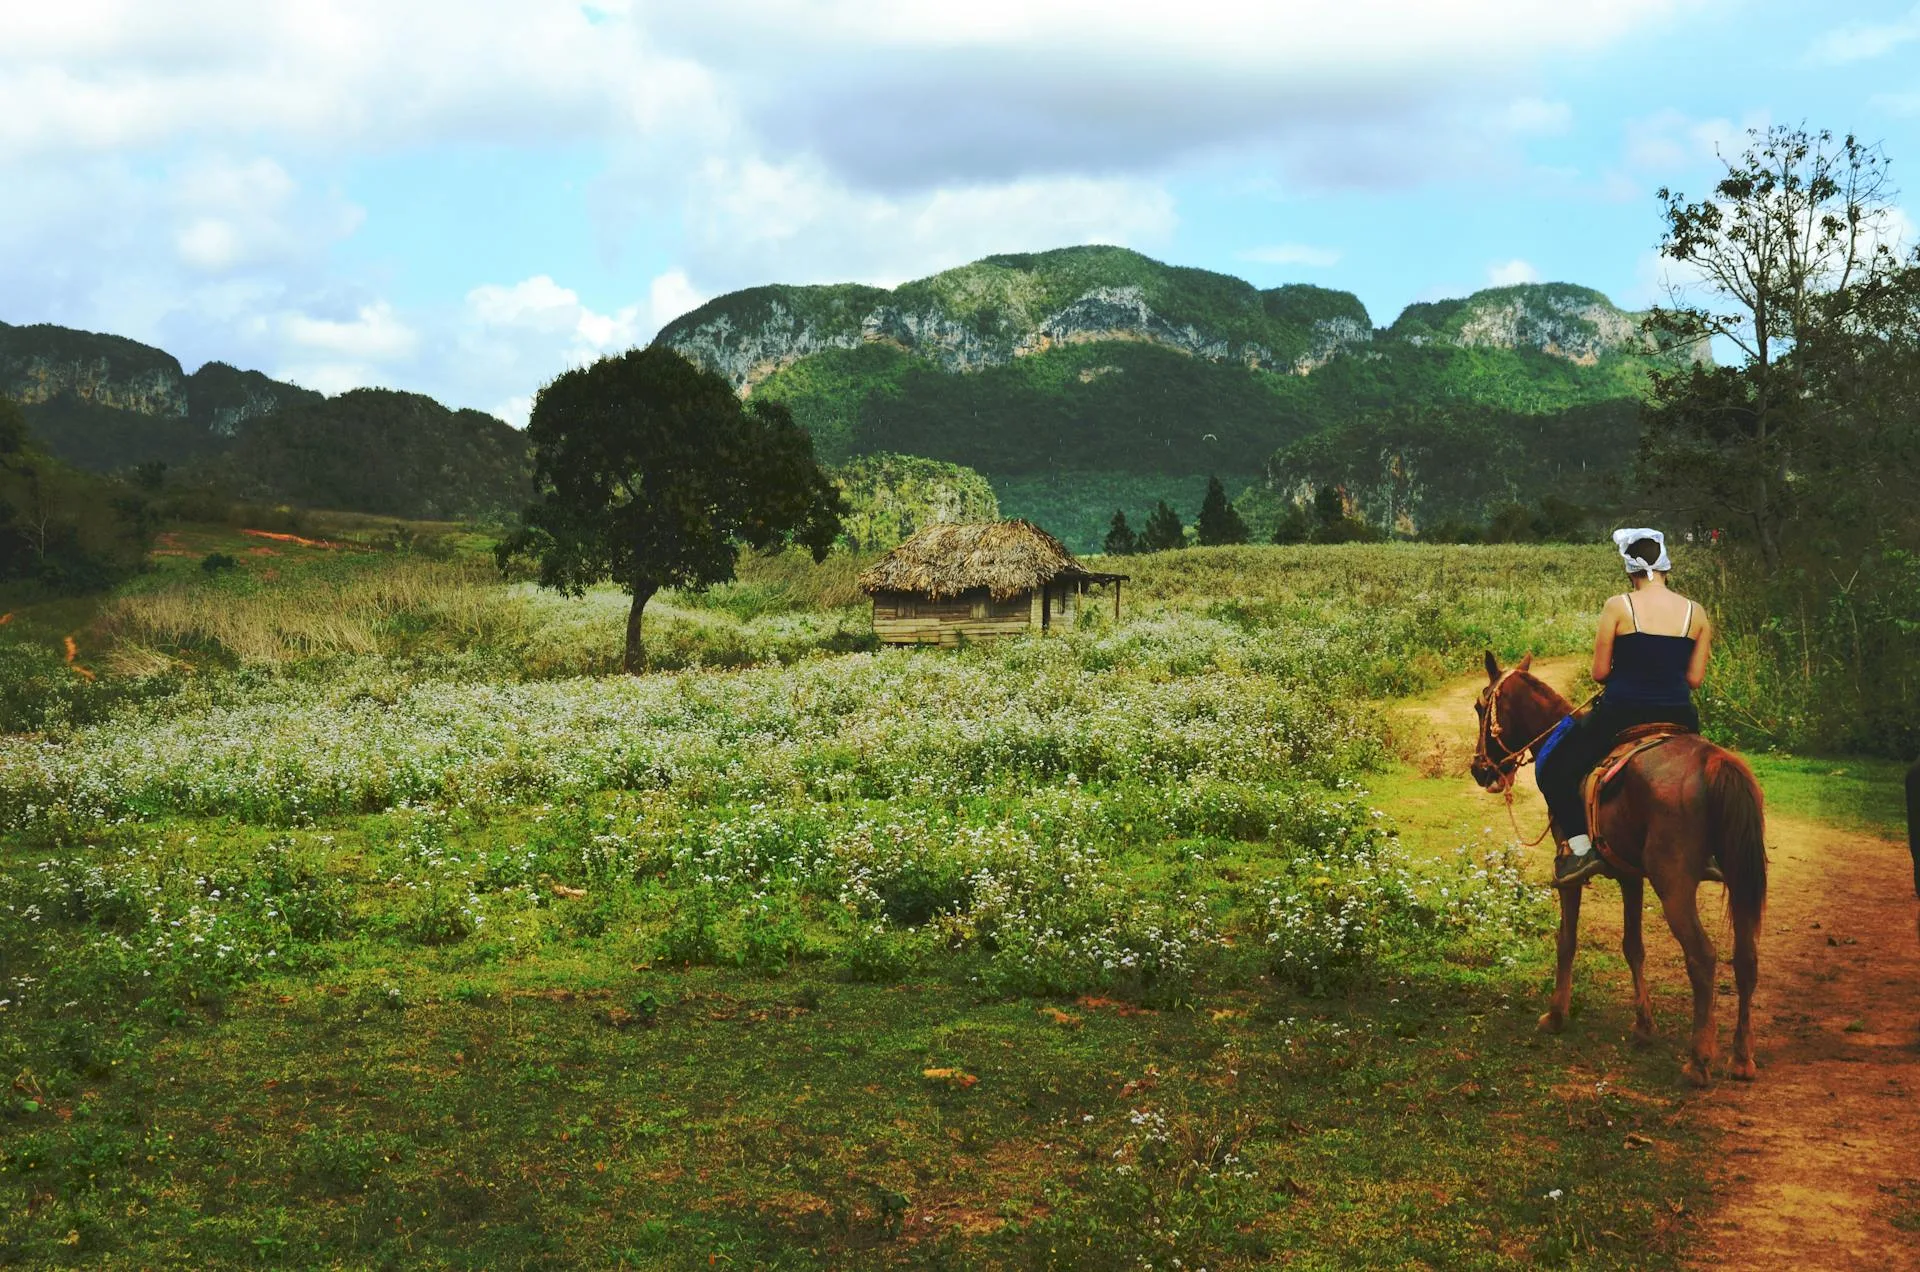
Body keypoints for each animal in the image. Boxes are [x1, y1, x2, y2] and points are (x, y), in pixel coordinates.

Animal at [1470, 652, 1768, 1086]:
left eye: (1480, 707)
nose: (1480, 769)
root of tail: (1714, 762)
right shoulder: (1630, 874)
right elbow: (1633, 946)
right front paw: (1644, 1025)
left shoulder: (1567, 873)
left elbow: (1566, 940)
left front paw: (1556, 1014)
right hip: (1740, 877)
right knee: (1746, 959)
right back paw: (1742, 1058)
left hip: (1674, 884)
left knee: (1702, 958)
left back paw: (1698, 1060)